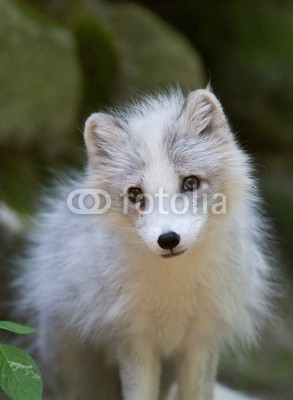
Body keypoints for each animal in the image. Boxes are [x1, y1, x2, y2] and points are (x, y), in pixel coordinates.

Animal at [16, 89, 272, 398]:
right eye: (136, 194)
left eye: (190, 182)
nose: (168, 239)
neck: (174, 288)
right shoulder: (134, 341)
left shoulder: (202, 341)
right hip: (74, 369)